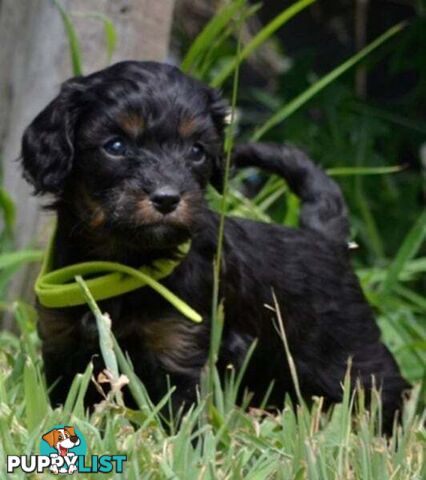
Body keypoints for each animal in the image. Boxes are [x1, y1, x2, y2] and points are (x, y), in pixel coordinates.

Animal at [21, 61, 408, 432]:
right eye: (115, 146)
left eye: (196, 151)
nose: (167, 198)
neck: (125, 263)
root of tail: (327, 240)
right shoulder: (62, 345)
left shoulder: (181, 351)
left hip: (351, 358)